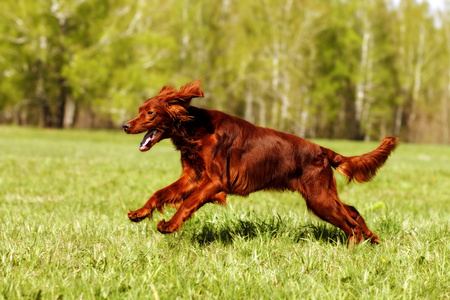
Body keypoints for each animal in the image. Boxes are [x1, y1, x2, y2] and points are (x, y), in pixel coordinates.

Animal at [123, 80, 398, 246]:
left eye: (150, 113)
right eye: (139, 110)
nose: (125, 125)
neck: (195, 129)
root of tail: (322, 149)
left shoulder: (215, 182)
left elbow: (188, 203)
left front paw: (169, 226)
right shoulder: (192, 177)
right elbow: (160, 193)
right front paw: (140, 213)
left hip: (319, 199)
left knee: (349, 223)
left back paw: (353, 248)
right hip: (323, 194)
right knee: (352, 211)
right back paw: (372, 238)